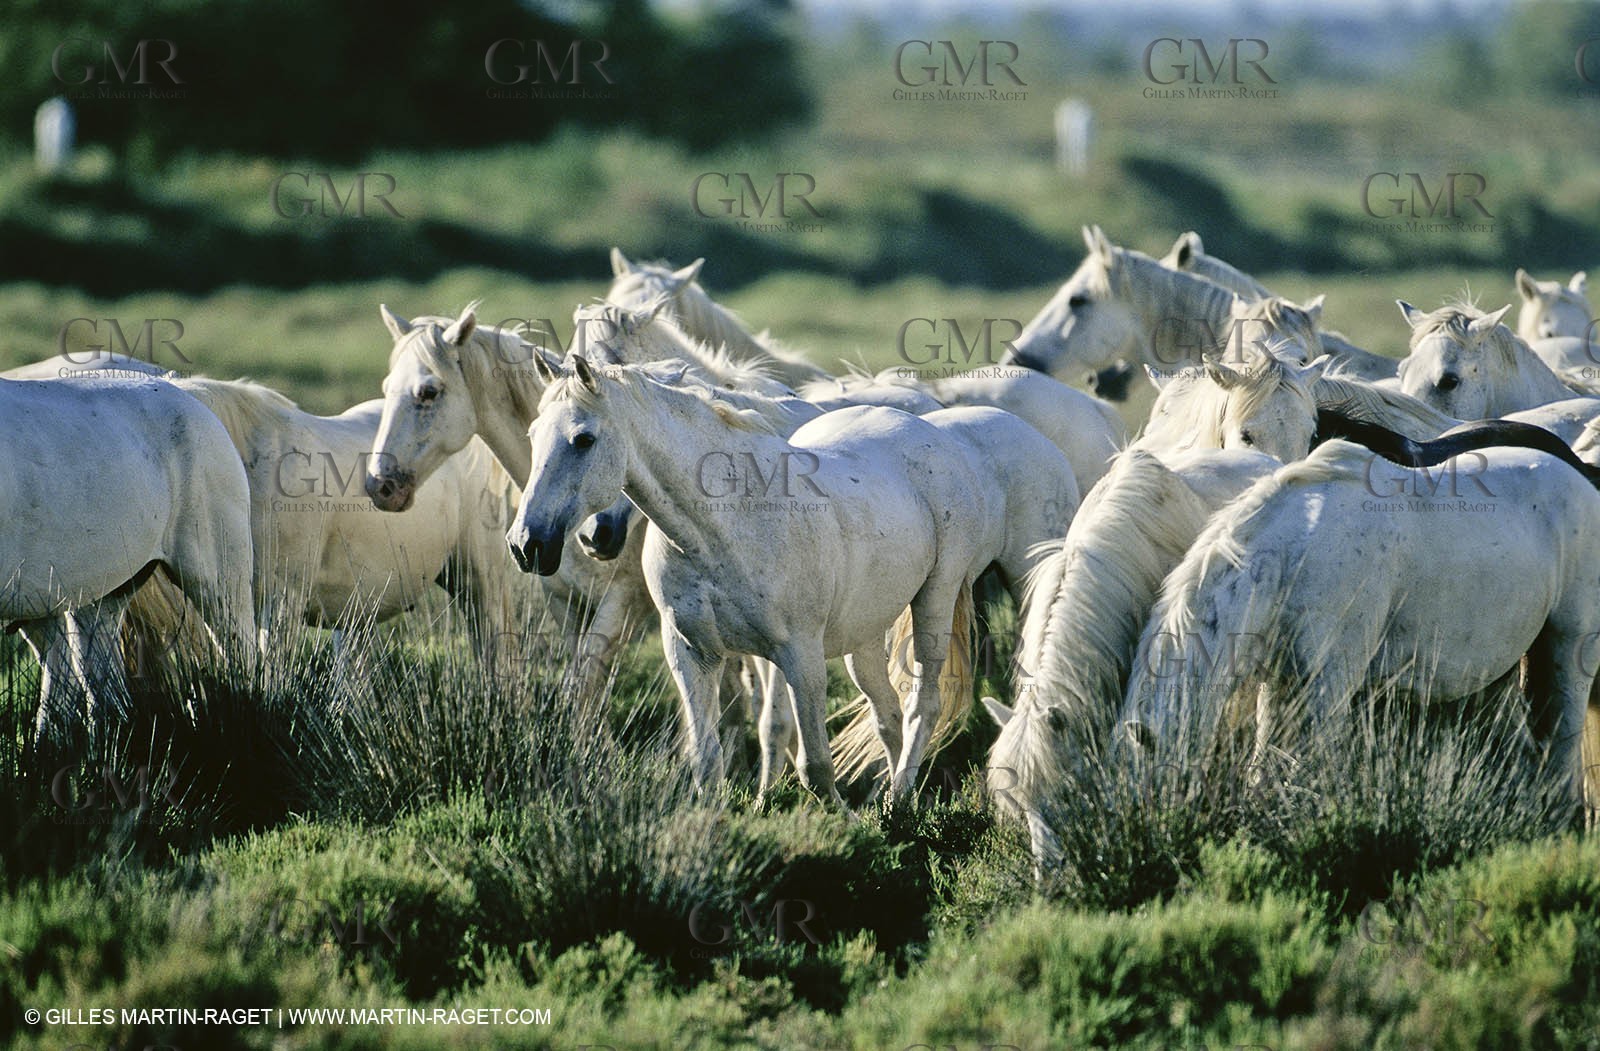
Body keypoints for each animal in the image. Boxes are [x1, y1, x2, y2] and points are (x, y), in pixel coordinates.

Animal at [508, 356, 999, 807]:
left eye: (583, 439)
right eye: (531, 436)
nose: (526, 544)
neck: (720, 526)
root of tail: (930, 433)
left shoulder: (799, 656)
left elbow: (814, 766)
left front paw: (846, 823)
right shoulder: (692, 653)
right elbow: (707, 759)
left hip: (936, 599)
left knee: (922, 704)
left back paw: (898, 805)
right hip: (863, 635)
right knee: (887, 714)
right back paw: (897, 803)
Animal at [1119, 437, 1600, 813]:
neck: (1296, 552)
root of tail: (1581, 480)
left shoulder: (1332, 681)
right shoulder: (1279, 680)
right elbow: (1264, 759)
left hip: (1567, 650)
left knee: (1562, 746)